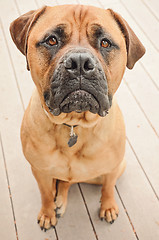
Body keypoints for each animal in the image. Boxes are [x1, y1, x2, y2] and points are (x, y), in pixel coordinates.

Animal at [9, 4, 145, 232]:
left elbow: (109, 187)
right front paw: (47, 212)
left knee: (73, 180)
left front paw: (108, 206)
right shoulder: (39, 171)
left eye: (105, 42)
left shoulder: (112, 168)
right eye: (52, 40)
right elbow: (45, 194)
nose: (80, 62)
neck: (74, 124)